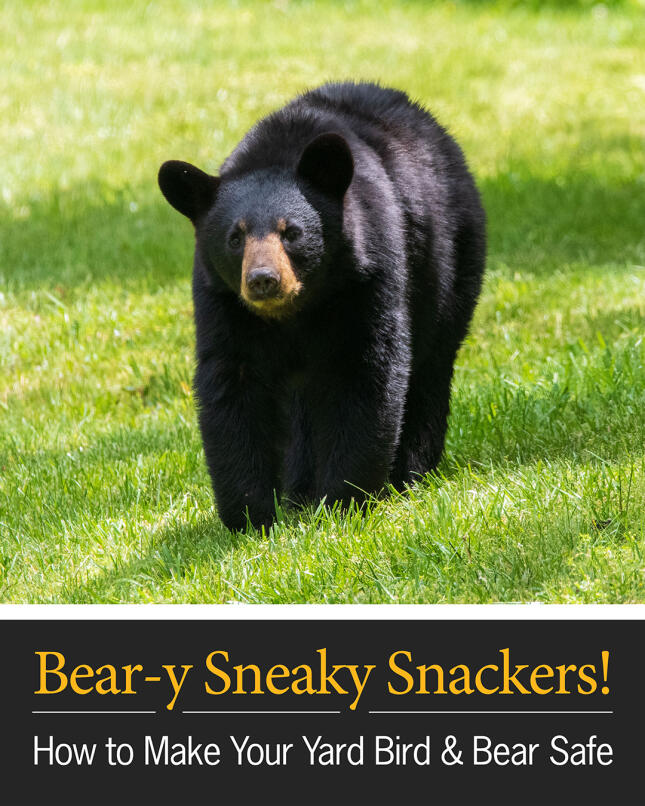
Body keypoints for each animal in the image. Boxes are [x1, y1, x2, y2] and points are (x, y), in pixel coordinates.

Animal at [158, 81, 486, 532]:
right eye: (234, 237)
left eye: (291, 232)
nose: (263, 279)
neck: (297, 310)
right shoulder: (223, 303)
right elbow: (232, 384)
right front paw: (252, 515)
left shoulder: (368, 276)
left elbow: (366, 371)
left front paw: (345, 500)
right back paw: (300, 490)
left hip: (450, 264)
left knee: (430, 365)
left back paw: (411, 474)